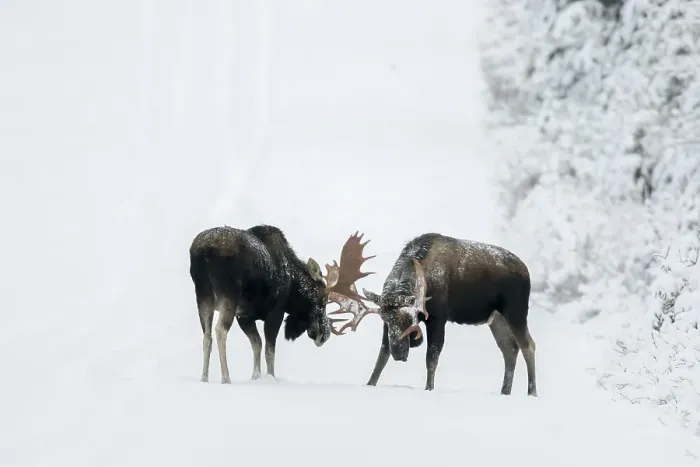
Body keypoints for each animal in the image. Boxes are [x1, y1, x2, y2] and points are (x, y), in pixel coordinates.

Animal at [189, 225, 374, 384]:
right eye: (323, 299)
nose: (324, 335)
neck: (293, 287)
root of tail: (204, 251)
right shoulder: (275, 312)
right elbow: (269, 350)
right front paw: (271, 378)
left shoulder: (244, 315)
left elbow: (257, 344)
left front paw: (256, 377)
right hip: (229, 295)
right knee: (220, 330)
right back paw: (226, 378)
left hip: (203, 295)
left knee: (207, 336)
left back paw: (204, 378)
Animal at [329, 232, 537, 396]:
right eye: (385, 318)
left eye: (409, 318)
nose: (399, 352)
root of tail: (526, 270)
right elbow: (382, 355)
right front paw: (370, 383)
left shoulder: (438, 318)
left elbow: (432, 357)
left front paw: (429, 388)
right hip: (496, 319)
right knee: (510, 349)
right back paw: (505, 391)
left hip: (515, 312)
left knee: (528, 346)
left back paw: (532, 392)